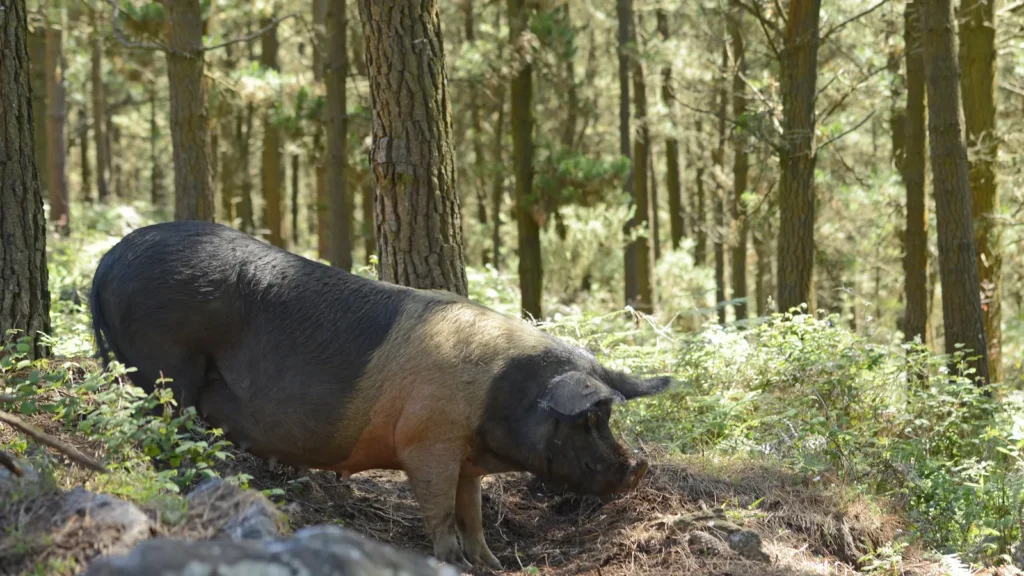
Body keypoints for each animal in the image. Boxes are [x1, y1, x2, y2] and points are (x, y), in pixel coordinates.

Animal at [89, 221, 672, 569]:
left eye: (606, 418)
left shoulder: (464, 457)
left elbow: (473, 511)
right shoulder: (427, 441)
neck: (498, 392)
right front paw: (451, 562)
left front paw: (493, 563)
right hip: (165, 365)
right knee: (163, 433)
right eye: (586, 420)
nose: (635, 469)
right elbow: (440, 511)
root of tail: (109, 259)